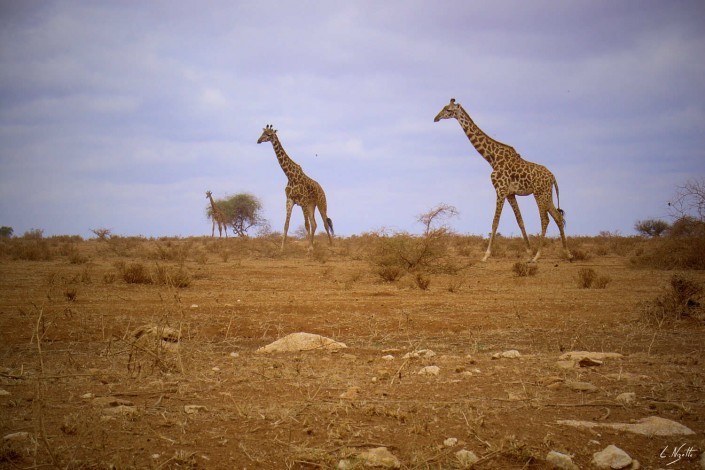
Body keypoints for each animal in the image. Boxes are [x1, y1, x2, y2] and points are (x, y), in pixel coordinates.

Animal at [258, 123, 334, 252]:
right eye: (262, 133)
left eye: (269, 134)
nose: (258, 141)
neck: (290, 175)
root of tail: (321, 189)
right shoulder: (289, 200)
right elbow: (286, 225)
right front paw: (282, 248)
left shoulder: (302, 201)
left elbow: (306, 225)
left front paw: (309, 248)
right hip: (311, 205)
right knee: (315, 224)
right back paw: (315, 245)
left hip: (321, 203)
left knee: (325, 222)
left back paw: (331, 245)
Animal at [434, 97, 572, 262]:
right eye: (443, 107)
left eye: (448, 110)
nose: (436, 118)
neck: (492, 158)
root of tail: (553, 177)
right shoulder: (510, 193)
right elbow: (520, 221)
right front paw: (528, 252)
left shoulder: (500, 190)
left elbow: (495, 222)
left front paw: (486, 255)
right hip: (546, 194)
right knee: (557, 217)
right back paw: (567, 253)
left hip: (539, 193)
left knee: (545, 219)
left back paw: (538, 256)